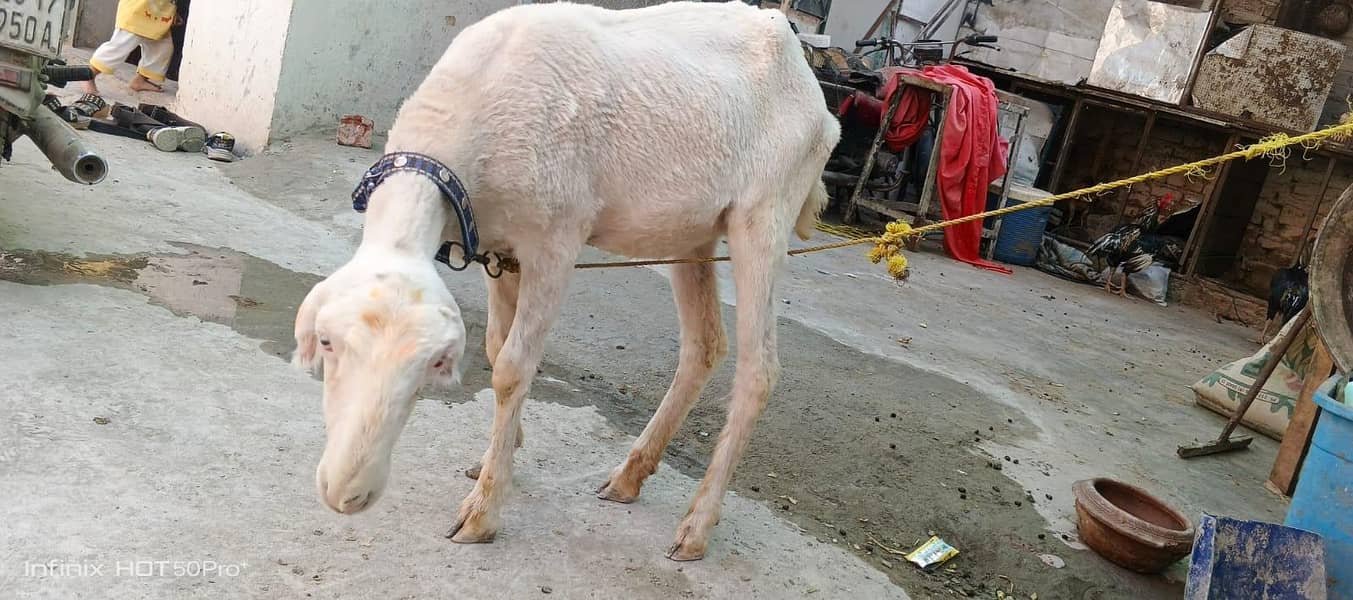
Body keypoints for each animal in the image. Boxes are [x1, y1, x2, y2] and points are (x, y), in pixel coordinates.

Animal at [293, 1, 840, 561]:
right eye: (327, 342)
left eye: (434, 364)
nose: (347, 494)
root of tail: (813, 89)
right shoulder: (498, 246)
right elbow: (494, 346)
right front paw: (500, 454)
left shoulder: (556, 241)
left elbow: (511, 368)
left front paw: (483, 510)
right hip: (692, 231)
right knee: (705, 345)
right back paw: (628, 477)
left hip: (766, 211)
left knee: (759, 369)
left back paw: (696, 527)